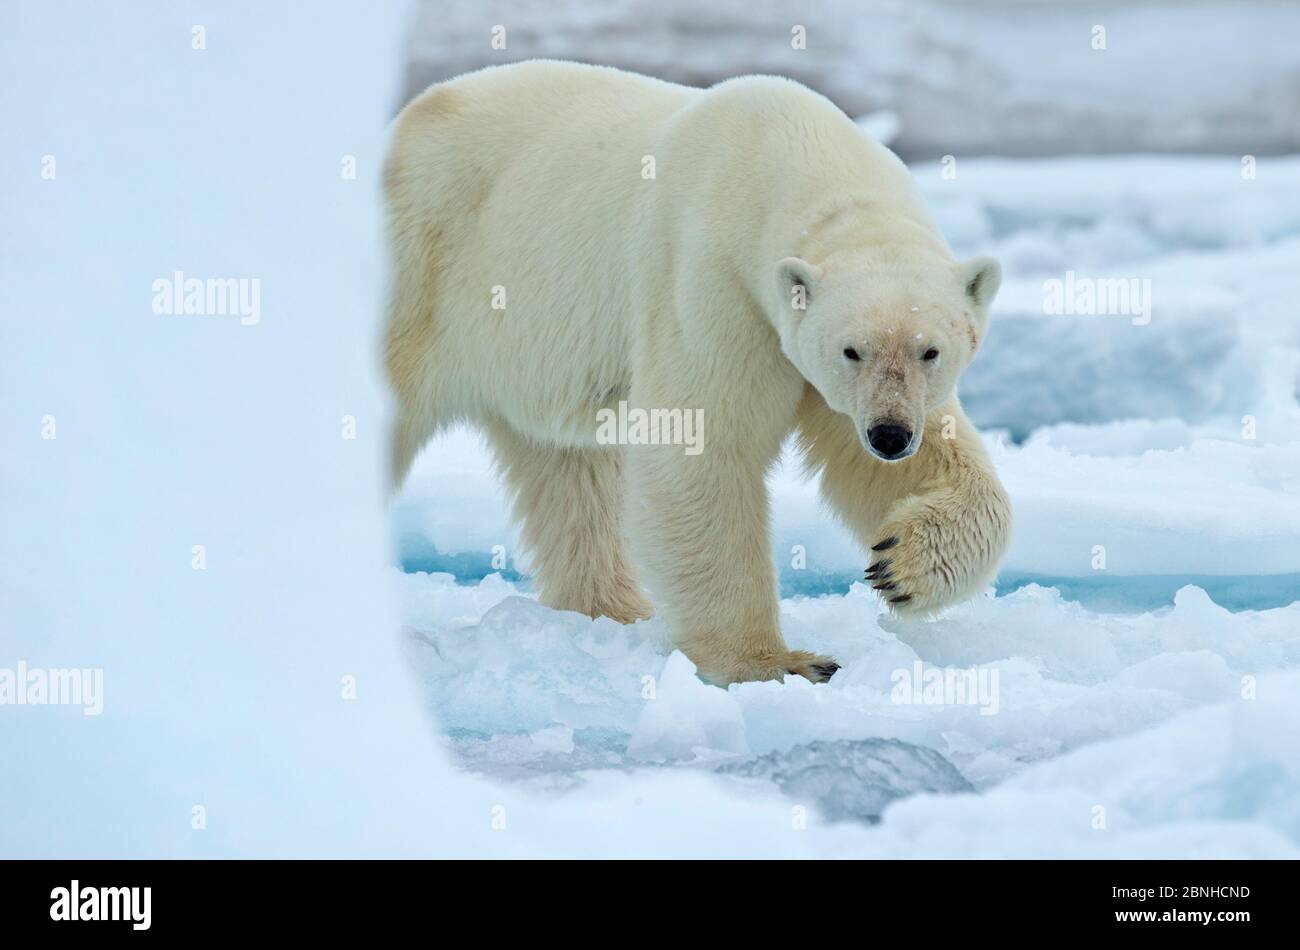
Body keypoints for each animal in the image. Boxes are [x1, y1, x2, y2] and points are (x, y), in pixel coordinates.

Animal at [384, 61, 1013, 686]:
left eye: (929, 351)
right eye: (850, 350)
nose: (889, 435)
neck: (796, 156)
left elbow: (913, 462)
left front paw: (898, 565)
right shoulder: (713, 280)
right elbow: (702, 448)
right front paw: (779, 663)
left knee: (569, 471)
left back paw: (617, 609)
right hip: (428, 268)